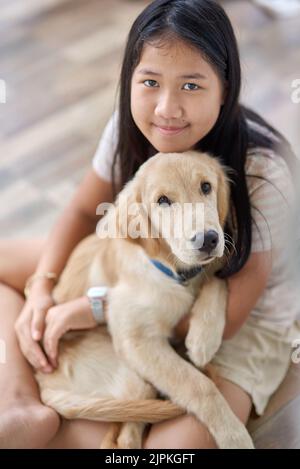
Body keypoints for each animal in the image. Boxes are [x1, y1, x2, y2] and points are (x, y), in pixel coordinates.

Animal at [36, 152, 254, 448]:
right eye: (162, 201)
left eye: (206, 186)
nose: (208, 239)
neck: (175, 272)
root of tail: (41, 382)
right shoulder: (136, 342)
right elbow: (198, 385)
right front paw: (233, 435)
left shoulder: (215, 266)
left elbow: (217, 279)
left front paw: (203, 338)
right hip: (132, 376)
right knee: (123, 436)